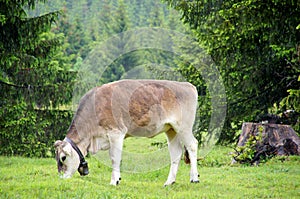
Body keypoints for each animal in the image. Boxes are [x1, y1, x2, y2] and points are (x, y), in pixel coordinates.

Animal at [54, 79, 199, 187]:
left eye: (63, 158)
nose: (61, 178)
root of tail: (186, 85)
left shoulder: (116, 133)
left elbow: (115, 157)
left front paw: (114, 181)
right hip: (171, 129)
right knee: (176, 153)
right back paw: (169, 182)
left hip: (184, 126)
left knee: (192, 145)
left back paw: (194, 178)